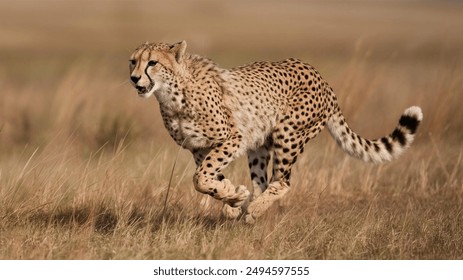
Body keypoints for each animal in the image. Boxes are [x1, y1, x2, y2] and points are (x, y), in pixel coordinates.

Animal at [129, 40, 422, 224]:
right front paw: (232, 197)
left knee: (282, 181)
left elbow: (200, 178)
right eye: (133, 61)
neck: (173, 94)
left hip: (289, 132)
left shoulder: (231, 138)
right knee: (261, 181)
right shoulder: (199, 148)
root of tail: (320, 77)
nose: (134, 78)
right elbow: (209, 177)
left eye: (152, 63)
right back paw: (248, 205)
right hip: (259, 145)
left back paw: (254, 210)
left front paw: (233, 199)